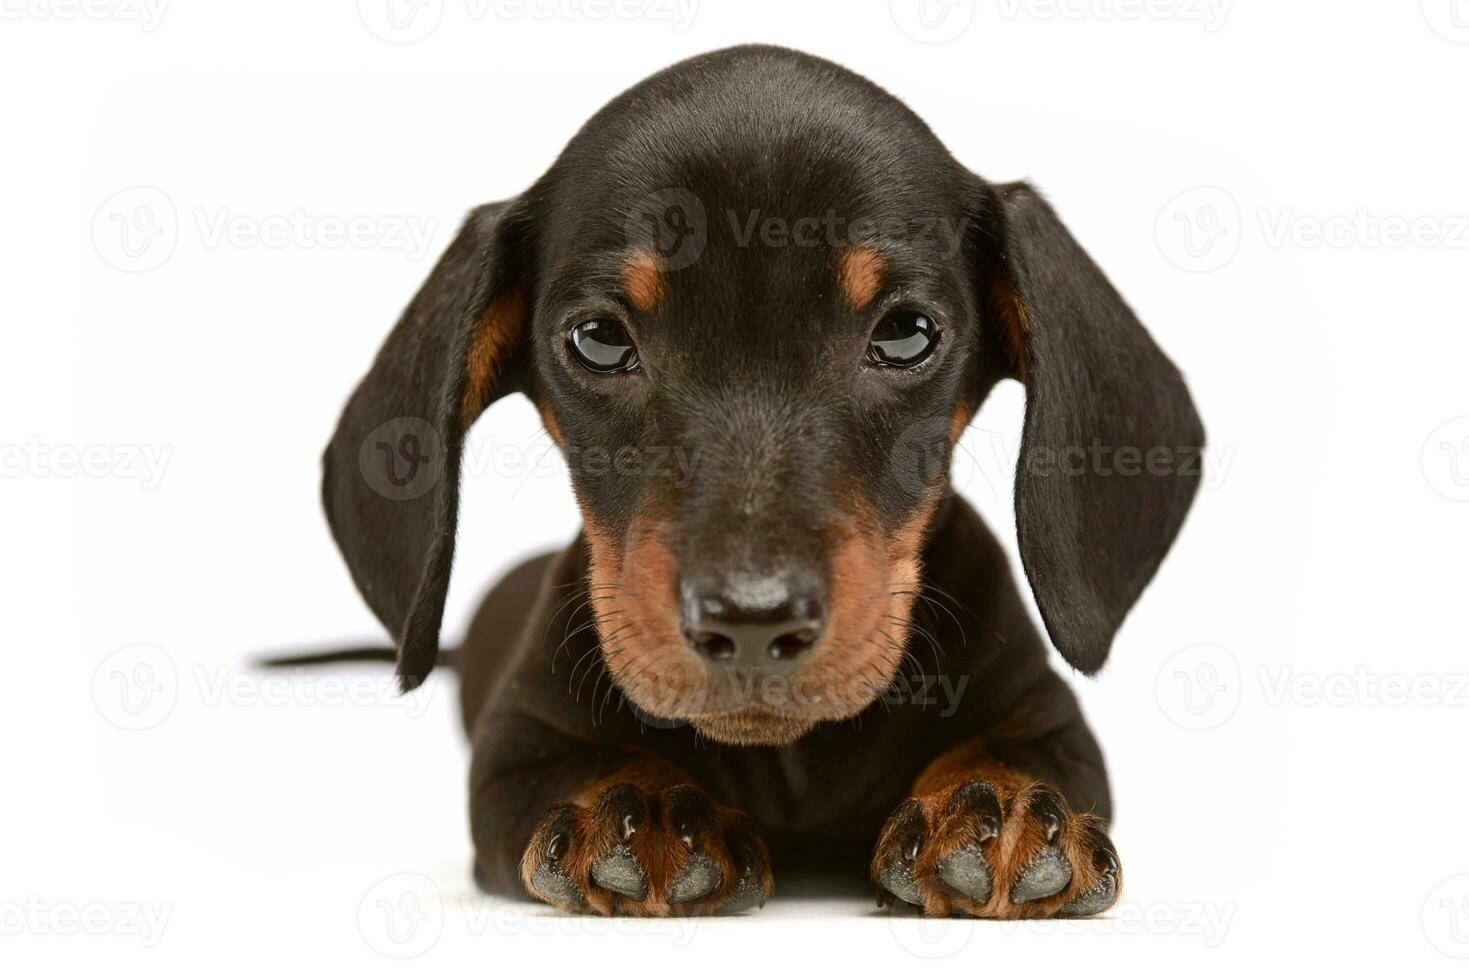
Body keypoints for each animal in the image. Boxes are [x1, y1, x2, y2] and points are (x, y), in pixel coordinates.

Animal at [315, 44, 1198, 922]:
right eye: (596, 339)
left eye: (906, 334)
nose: (749, 622)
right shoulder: (512, 753)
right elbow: (574, 769)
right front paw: (642, 810)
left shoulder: (1049, 720)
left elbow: (1019, 752)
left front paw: (995, 805)